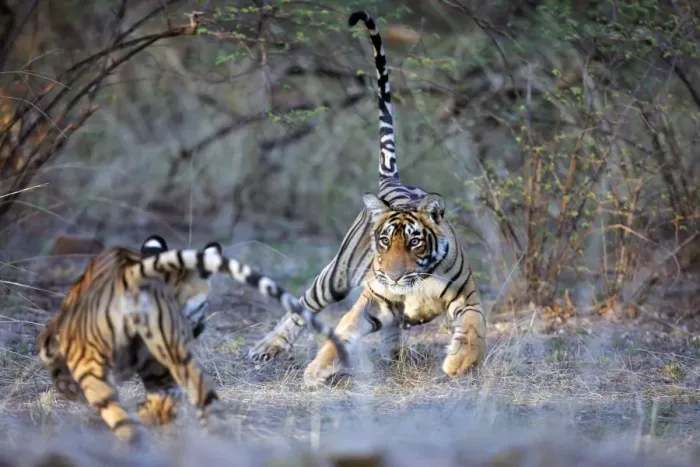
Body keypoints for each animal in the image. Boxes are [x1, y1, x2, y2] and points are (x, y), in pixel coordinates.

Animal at [37, 235, 349, 445]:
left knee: (122, 420)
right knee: (203, 407)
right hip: (181, 365)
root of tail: (133, 276)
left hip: (92, 366)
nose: (196, 329)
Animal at [249, 10, 487, 387]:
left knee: (394, 329)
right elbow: (341, 332)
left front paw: (458, 363)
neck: (416, 283)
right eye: (385, 242)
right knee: (301, 306)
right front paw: (316, 371)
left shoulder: (467, 297)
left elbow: (474, 328)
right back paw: (267, 347)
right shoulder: (372, 300)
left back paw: (396, 355)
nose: (393, 277)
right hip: (335, 277)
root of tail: (395, 179)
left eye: (415, 243)